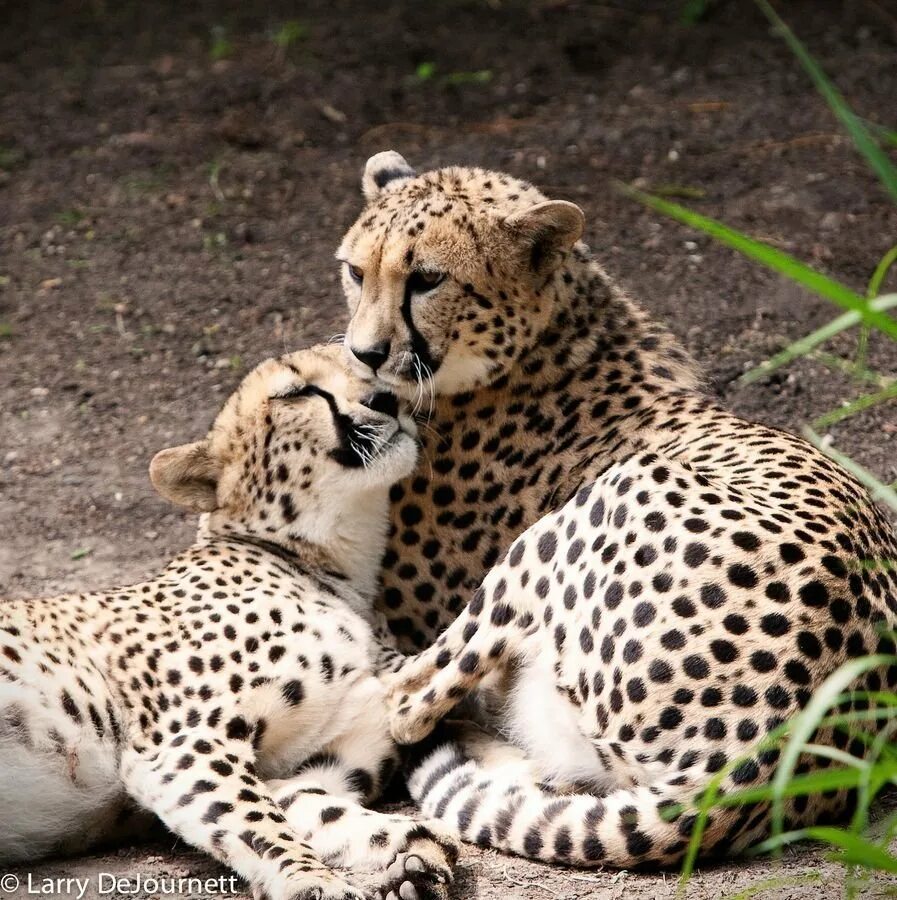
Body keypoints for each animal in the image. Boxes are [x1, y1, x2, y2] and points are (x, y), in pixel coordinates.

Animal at [0, 342, 458, 896]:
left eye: (364, 366)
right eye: (296, 391)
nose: (385, 399)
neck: (337, 567)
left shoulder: (312, 765)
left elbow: (317, 810)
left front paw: (414, 855)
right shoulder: (184, 747)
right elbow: (260, 824)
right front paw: (313, 880)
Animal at [334, 153, 896, 864]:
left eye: (427, 279)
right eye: (356, 272)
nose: (365, 354)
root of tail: (774, 753)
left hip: (597, 503)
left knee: (409, 702)